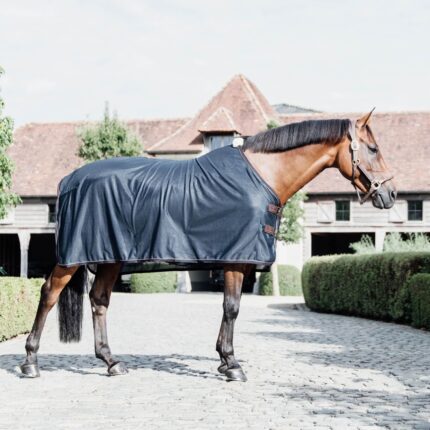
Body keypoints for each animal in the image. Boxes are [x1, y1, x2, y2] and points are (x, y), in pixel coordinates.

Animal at [20, 110, 396, 381]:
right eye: (373, 149)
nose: (390, 194)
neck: (262, 175)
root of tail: (70, 179)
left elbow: (230, 308)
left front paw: (224, 360)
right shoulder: (235, 259)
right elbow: (231, 307)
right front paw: (231, 364)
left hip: (110, 258)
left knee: (99, 301)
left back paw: (111, 362)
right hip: (74, 259)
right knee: (49, 293)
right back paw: (31, 361)